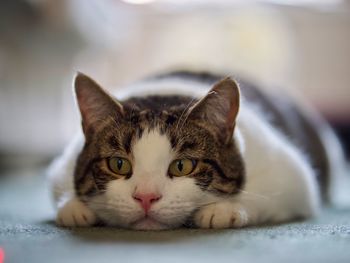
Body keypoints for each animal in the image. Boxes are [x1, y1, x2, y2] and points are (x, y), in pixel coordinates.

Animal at [47, 71, 344, 230]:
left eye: (182, 166)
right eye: (118, 164)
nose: (146, 197)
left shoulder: (293, 176)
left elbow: (266, 196)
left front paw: (224, 209)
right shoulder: (61, 170)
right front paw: (75, 207)